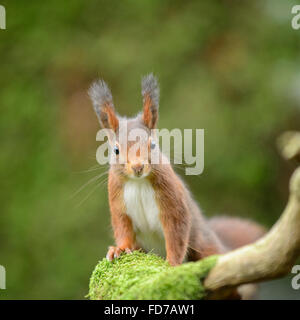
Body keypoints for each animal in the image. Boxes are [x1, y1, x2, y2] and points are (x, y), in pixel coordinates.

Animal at [88, 74, 264, 266]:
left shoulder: (172, 200)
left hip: (204, 245)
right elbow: (123, 229)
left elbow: (176, 235)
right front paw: (118, 249)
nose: (137, 167)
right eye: (116, 150)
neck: (139, 182)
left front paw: (171, 263)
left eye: (152, 145)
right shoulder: (118, 202)